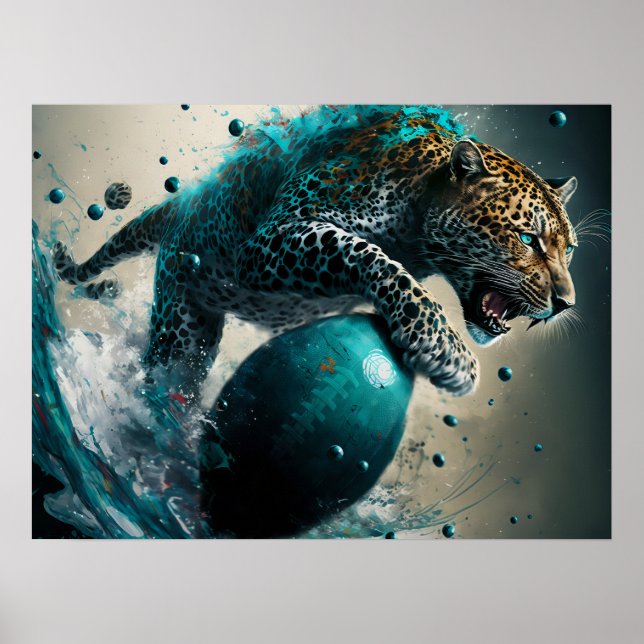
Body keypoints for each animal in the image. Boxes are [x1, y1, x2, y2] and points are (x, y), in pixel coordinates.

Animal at [51, 105, 578, 400]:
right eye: (528, 239)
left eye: (569, 249)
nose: (566, 303)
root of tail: (187, 203)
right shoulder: (270, 239)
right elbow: (370, 255)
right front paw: (445, 349)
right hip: (179, 329)